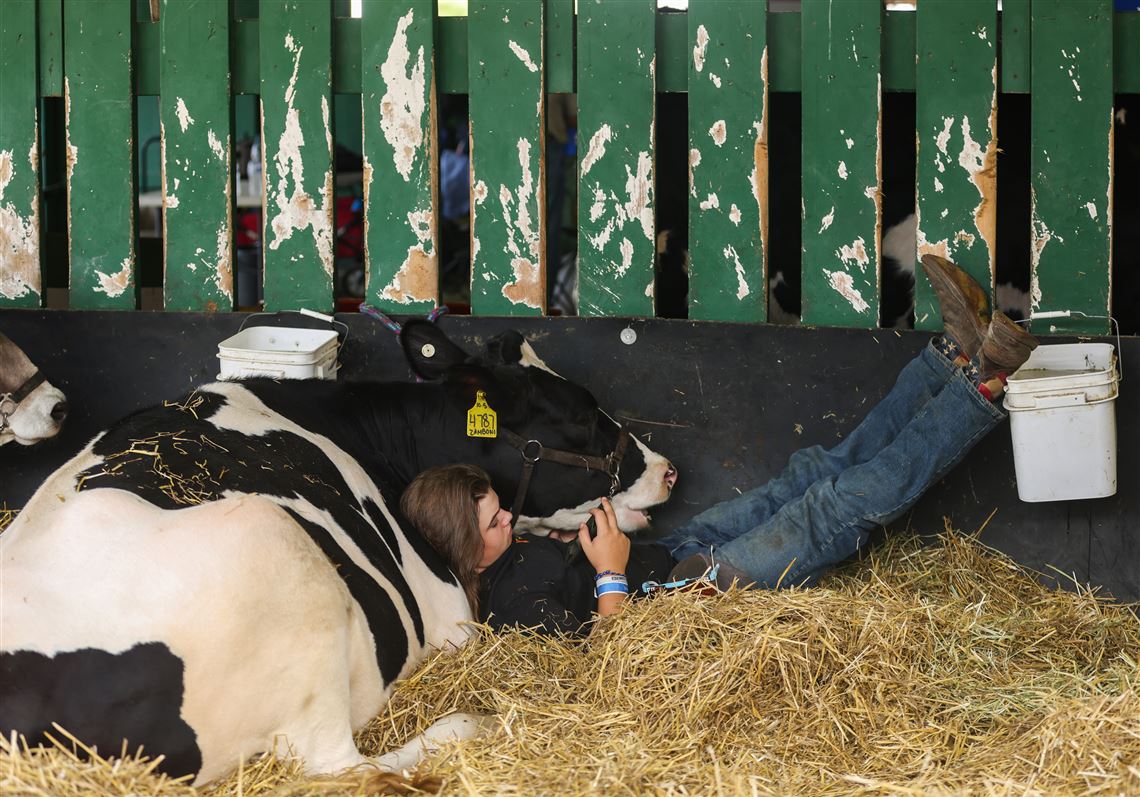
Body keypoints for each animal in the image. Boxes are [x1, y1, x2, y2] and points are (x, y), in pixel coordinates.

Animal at [0, 323, 674, 784]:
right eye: (580, 416)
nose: (667, 471)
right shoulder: (451, 616)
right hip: (276, 553)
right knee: (344, 767)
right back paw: (471, 723)